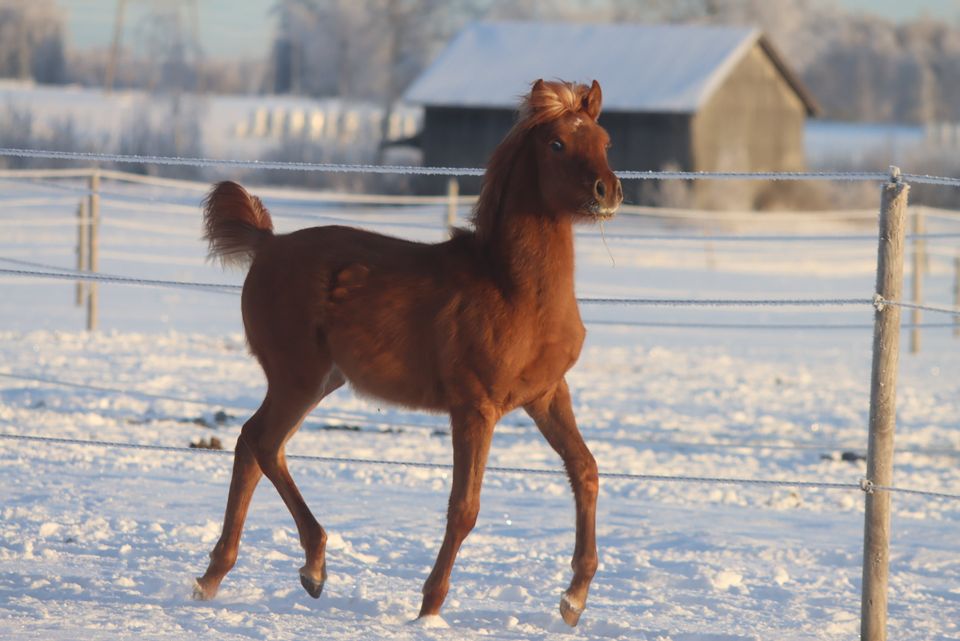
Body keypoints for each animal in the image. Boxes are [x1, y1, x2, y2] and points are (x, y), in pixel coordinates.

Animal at [195, 77, 624, 624]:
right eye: (557, 144)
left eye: (605, 141)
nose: (608, 191)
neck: (513, 290)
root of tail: (267, 245)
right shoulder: (474, 408)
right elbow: (464, 507)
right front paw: (430, 607)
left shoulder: (547, 394)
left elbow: (586, 471)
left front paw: (574, 597)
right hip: (298, 378)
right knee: (263, 442)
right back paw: (309, 566)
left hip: (320, 380)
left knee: (254, 446)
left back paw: (219, 576)